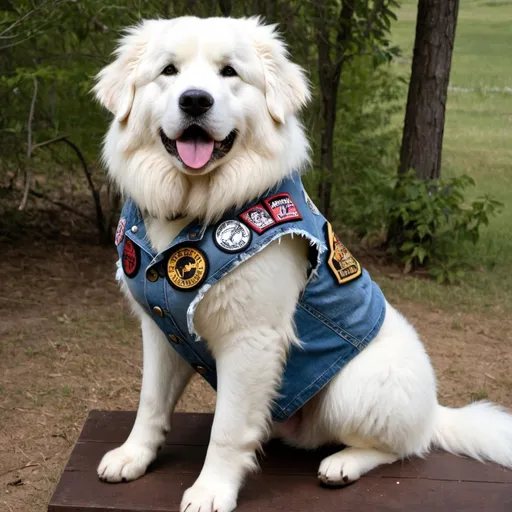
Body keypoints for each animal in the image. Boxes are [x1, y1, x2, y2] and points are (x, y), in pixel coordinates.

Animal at [94, 16, 512, 512]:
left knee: (403, 447)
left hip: (352, 390)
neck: (195, 209)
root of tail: (433, 412)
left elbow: (227, 430)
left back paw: (343, 464)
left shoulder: (251, 339)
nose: (195, 100)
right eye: (169, 71)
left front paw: (212, 489)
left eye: (229, 72)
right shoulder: (162, 329)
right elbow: (151, 403)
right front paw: (133, 456)